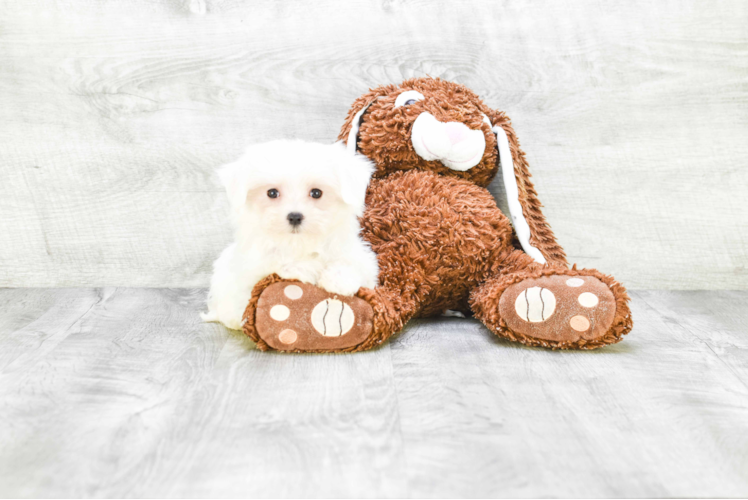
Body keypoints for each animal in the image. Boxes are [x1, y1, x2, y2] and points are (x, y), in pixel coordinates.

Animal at [200, 139, 380, 330]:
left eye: (316, 192)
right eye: (272, 193)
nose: (294, 216)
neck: (298, 243)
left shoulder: (358, 256)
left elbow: (352, 263)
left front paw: (340, 280)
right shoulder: (253, 264)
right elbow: (278, 263)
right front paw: (306, 269)